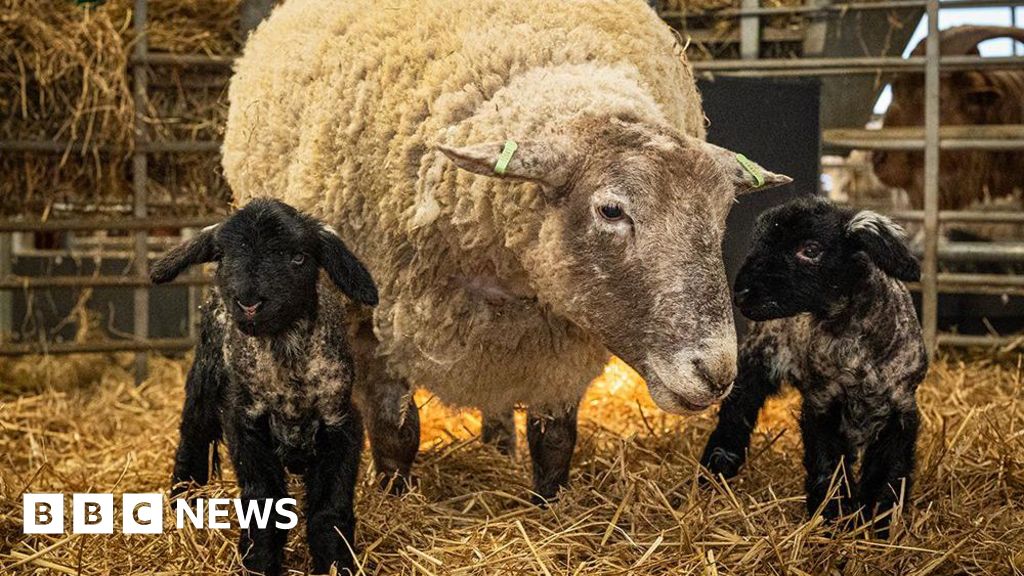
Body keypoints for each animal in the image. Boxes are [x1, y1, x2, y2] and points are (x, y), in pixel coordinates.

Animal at [151, 198, 379, 576]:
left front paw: (336, 562)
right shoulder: (245, 423)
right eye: (224, 256)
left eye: (298, 257)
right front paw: (258, 562)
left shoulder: (341, 424)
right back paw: (184, 504)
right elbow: (263, 505)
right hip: (206, 374)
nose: (249, 303)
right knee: (193, 436)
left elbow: (329, 510)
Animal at [222, 0, 791, 502]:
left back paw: (498, 446)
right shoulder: (373, 321)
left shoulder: (559, 344)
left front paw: (549, 507)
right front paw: (395, 498)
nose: (716, 373)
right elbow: (395, 433)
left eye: (722, 214)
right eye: (612, 210)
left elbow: (554, 440)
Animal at [700, 196, 928, 537]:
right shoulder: (822, 403)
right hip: (759, 355)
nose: (741, 293)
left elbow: (888, 472)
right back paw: (717, 466)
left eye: (811, 249)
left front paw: (877, 524)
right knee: (737, 409)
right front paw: (834, 517)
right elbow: (827, 464)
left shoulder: (900, 409)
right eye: (759, 243)